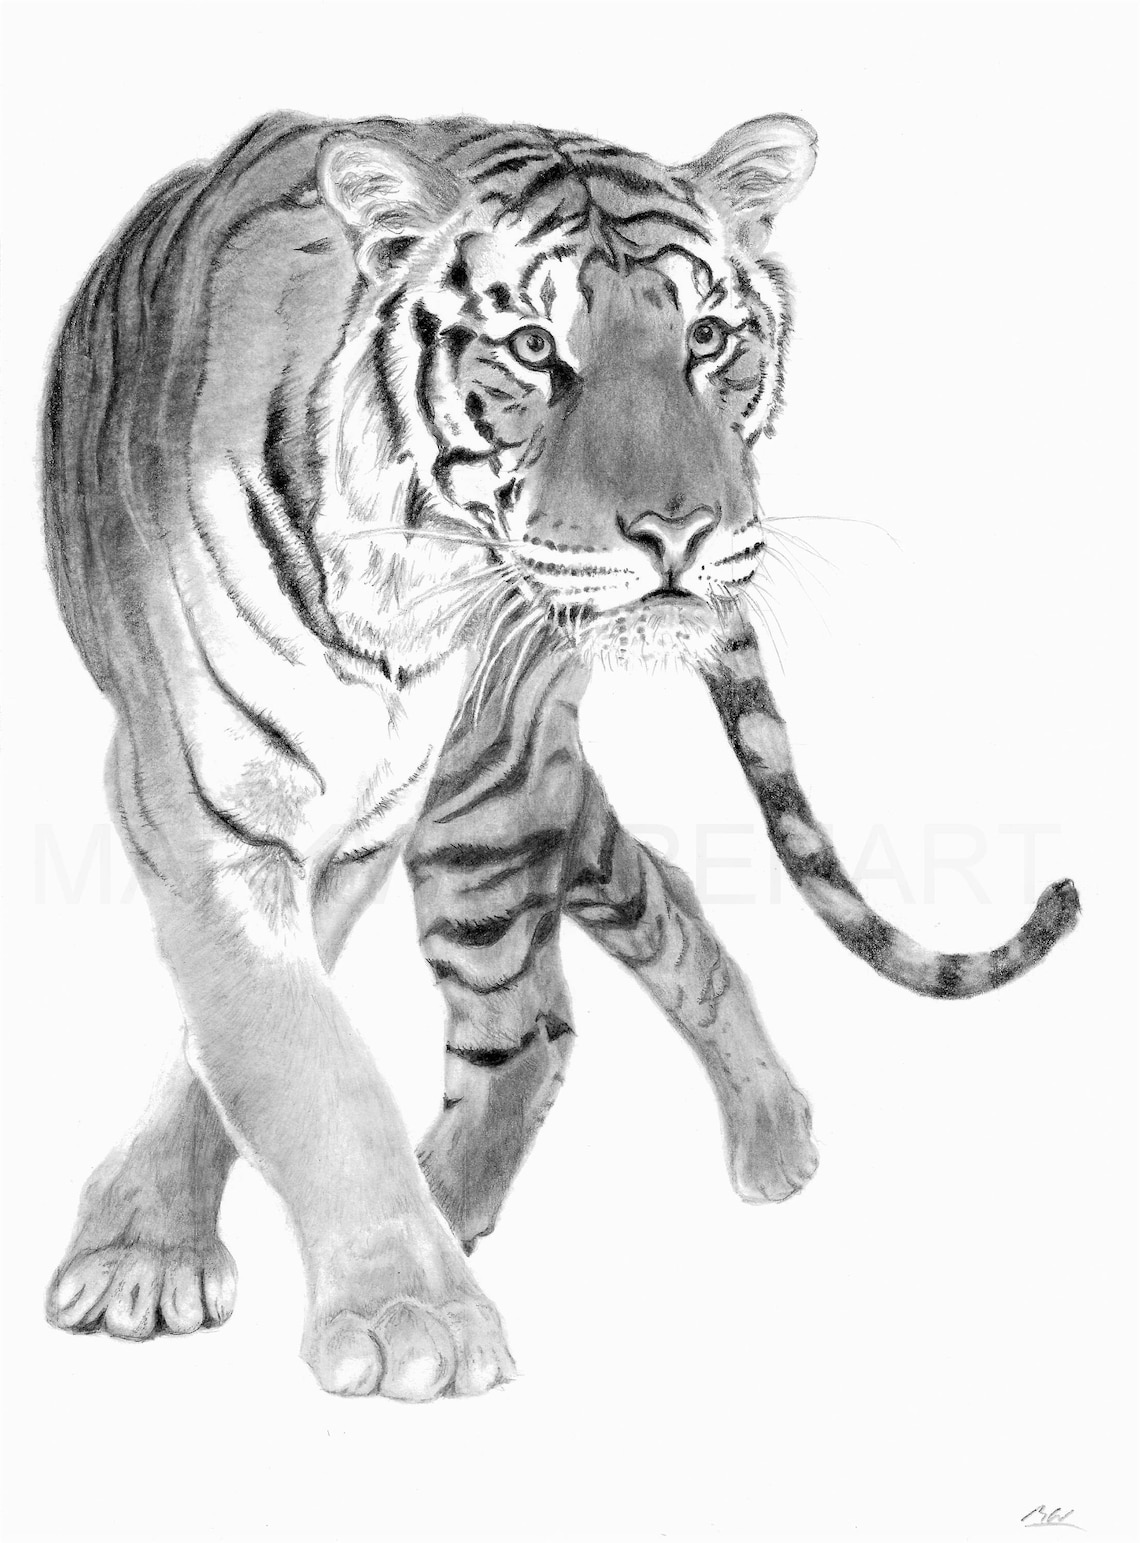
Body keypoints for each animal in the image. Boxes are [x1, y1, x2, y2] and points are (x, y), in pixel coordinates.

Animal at [41, 110, 1080, 1401]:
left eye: (709, 337)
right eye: (534, 349)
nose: (683, 532)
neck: (405, 582)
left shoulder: (369, 820)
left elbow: (276, 1046)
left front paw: (401, 1310)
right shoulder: (210, 809)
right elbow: (292, 1052)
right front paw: (208, 1264)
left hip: (490, 788)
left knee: (538, 1012)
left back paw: (646, 1163)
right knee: (627, 917)